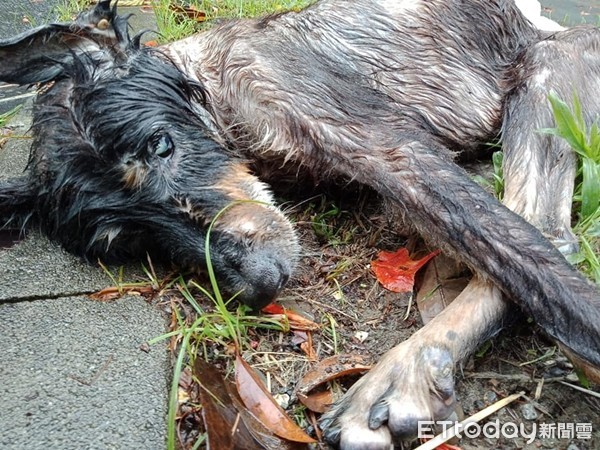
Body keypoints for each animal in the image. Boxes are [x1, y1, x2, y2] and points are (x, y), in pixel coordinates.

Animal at [1, 1, 600, 448]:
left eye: (160, 144)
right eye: (129, 241)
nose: (262, 284)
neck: (215, 82)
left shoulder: (390, 148)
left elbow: (527, 261)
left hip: (551, 62)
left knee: (545, 235)